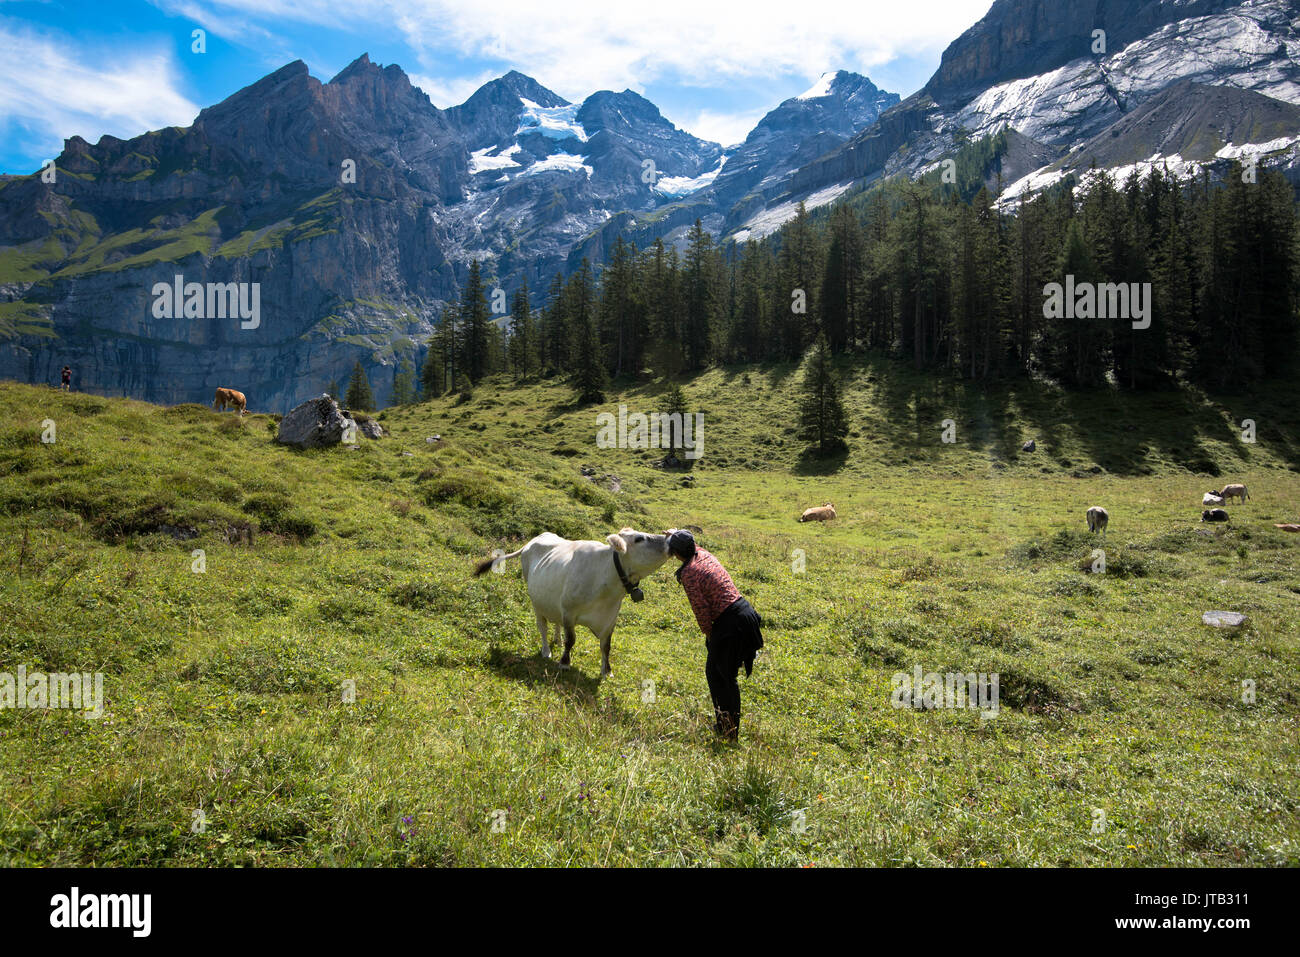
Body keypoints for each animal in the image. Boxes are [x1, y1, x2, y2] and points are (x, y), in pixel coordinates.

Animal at [480, 527, 681, 676]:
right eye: (639, 539)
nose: (671, 538)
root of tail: (533, 540)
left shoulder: (609, 620)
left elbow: (606, 646)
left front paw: (607, 671)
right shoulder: (569, 612)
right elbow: (571, 640)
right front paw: (564, 662)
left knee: (556, 622)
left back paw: (556, 640)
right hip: (536, 602)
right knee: (542, 626)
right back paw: (546, 650)